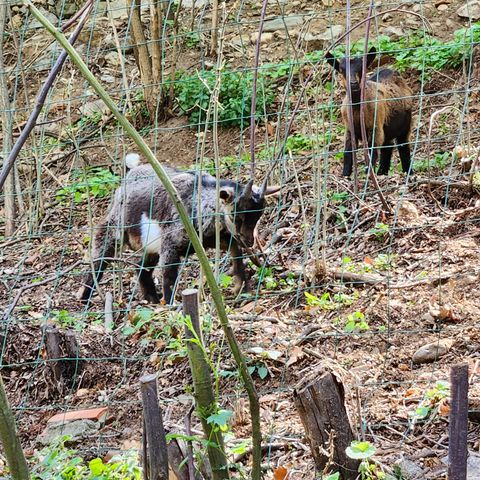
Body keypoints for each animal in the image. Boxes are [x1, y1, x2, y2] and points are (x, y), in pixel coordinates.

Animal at [77, 154, 280, 304]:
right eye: (236, 215)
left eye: (258, 216)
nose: (249, 240)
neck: (198, 201)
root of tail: (128, 175)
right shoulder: (170, 245)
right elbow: (168, 275)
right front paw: (171, 303)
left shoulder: (211, 239)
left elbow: (235, 251)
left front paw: (242, 289)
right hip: (114, 228)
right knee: (100, 254)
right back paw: (85, 296)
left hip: (151, 246)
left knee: (141, 267)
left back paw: (151, 298)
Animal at [326, 46, 412, 176]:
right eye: (341, 69)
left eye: (362, 68)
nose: (353, 84)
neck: (358, 110)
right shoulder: (349, 130)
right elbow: (348, 152)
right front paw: (345, 175)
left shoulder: (375, 128)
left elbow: (372, 152)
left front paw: (368, 175)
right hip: (387, 128)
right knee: (388, 146)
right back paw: (382, 172)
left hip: (405, 124)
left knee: (403, 145)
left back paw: (408, 171)